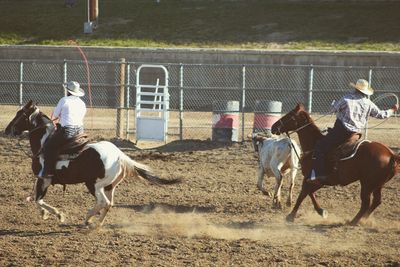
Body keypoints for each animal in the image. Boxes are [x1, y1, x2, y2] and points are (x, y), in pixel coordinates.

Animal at [4, 100, 180, 228]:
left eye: (19, 114)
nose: (7, 130)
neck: (43, 143)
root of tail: (119, 155)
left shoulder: (44, 179)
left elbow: (38, 199)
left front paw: (58, 215)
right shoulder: (42, 180)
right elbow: (37, 198)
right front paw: (45, 214)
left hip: (94, 184)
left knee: (104, 202)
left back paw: (88, 218)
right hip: (110, 186)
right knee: (109, 204)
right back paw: (96, 223)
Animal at [270, 103, 398, 225]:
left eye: (289, 115)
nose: (273, 127)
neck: (314, 144)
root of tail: (391, 154)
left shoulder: (311, 177)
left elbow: (303, 194)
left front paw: (291, 216)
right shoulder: (319, 181)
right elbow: (310, 193)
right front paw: (321, 211)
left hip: (367, 184)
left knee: (366, 203)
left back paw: (353, 222)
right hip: (377, 185)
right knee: (376, 201)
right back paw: (363, 220)